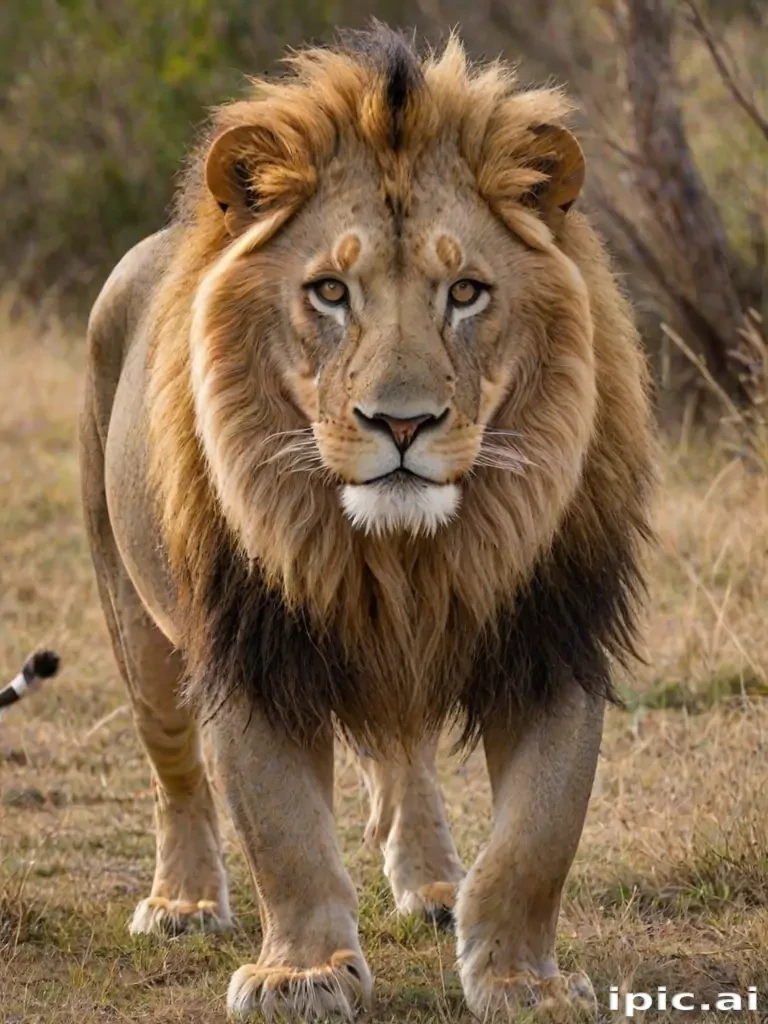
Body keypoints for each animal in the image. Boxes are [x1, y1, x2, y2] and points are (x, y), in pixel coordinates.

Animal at [80, 27, 655, 1021]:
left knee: (403, 753)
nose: (402, 423)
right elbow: (282, 834)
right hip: (135, 621)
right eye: (329, 292)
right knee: (176, 774)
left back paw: (432, 883)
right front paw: (302, 973)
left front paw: (523, 980)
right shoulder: (253, 647)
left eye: (464, 292)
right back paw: (183, 902)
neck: (401, 556)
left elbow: (538, 837)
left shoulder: (555, 633)